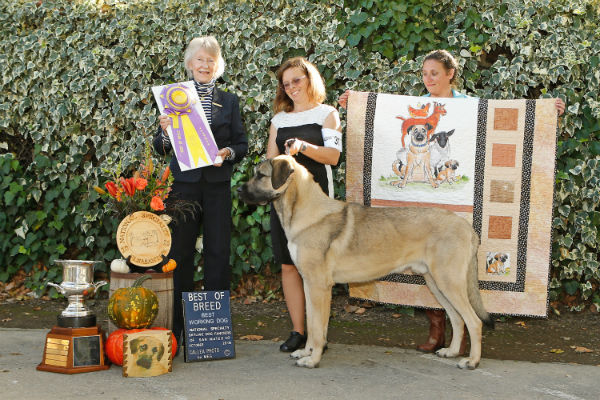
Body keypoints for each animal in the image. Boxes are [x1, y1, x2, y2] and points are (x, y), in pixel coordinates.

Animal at [237, 155, 494, 368]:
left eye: (260, 175)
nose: (238, 189)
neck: (305, 212)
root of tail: (468, 228)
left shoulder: (319, 286)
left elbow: (318, 328)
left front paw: (313, 359)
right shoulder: (309, 285)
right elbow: (312, 323)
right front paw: (306, 352)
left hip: (449, 283)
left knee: (473, 321)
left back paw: (472, 361)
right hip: (436, 283)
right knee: (458, 319)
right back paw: (451, 352)